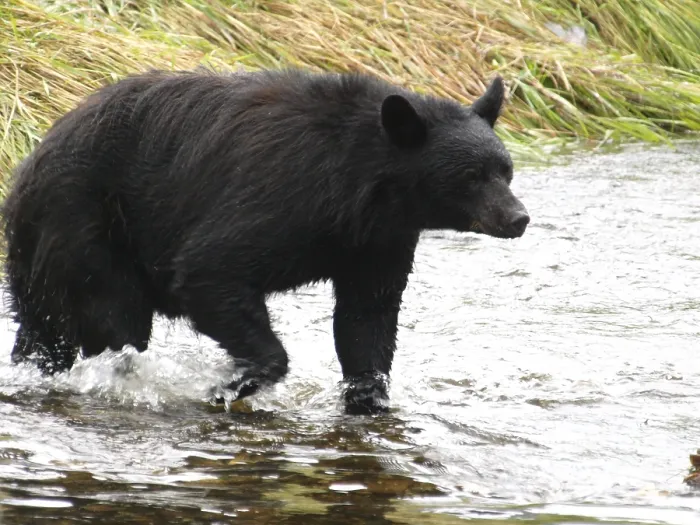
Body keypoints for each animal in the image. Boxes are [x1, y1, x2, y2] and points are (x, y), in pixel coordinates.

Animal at [1, 67, 529, 415]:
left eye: (505, 170)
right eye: (472, 177)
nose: (518, 218)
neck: (364, 184)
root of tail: (26, 169)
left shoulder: (378, 240)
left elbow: (367, 318)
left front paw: (369, 397)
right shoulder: (280, 196)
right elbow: (210, 270)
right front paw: (233, 384)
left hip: (43, 264)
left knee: (44, 332)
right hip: (85, 229)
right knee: (116, 320)